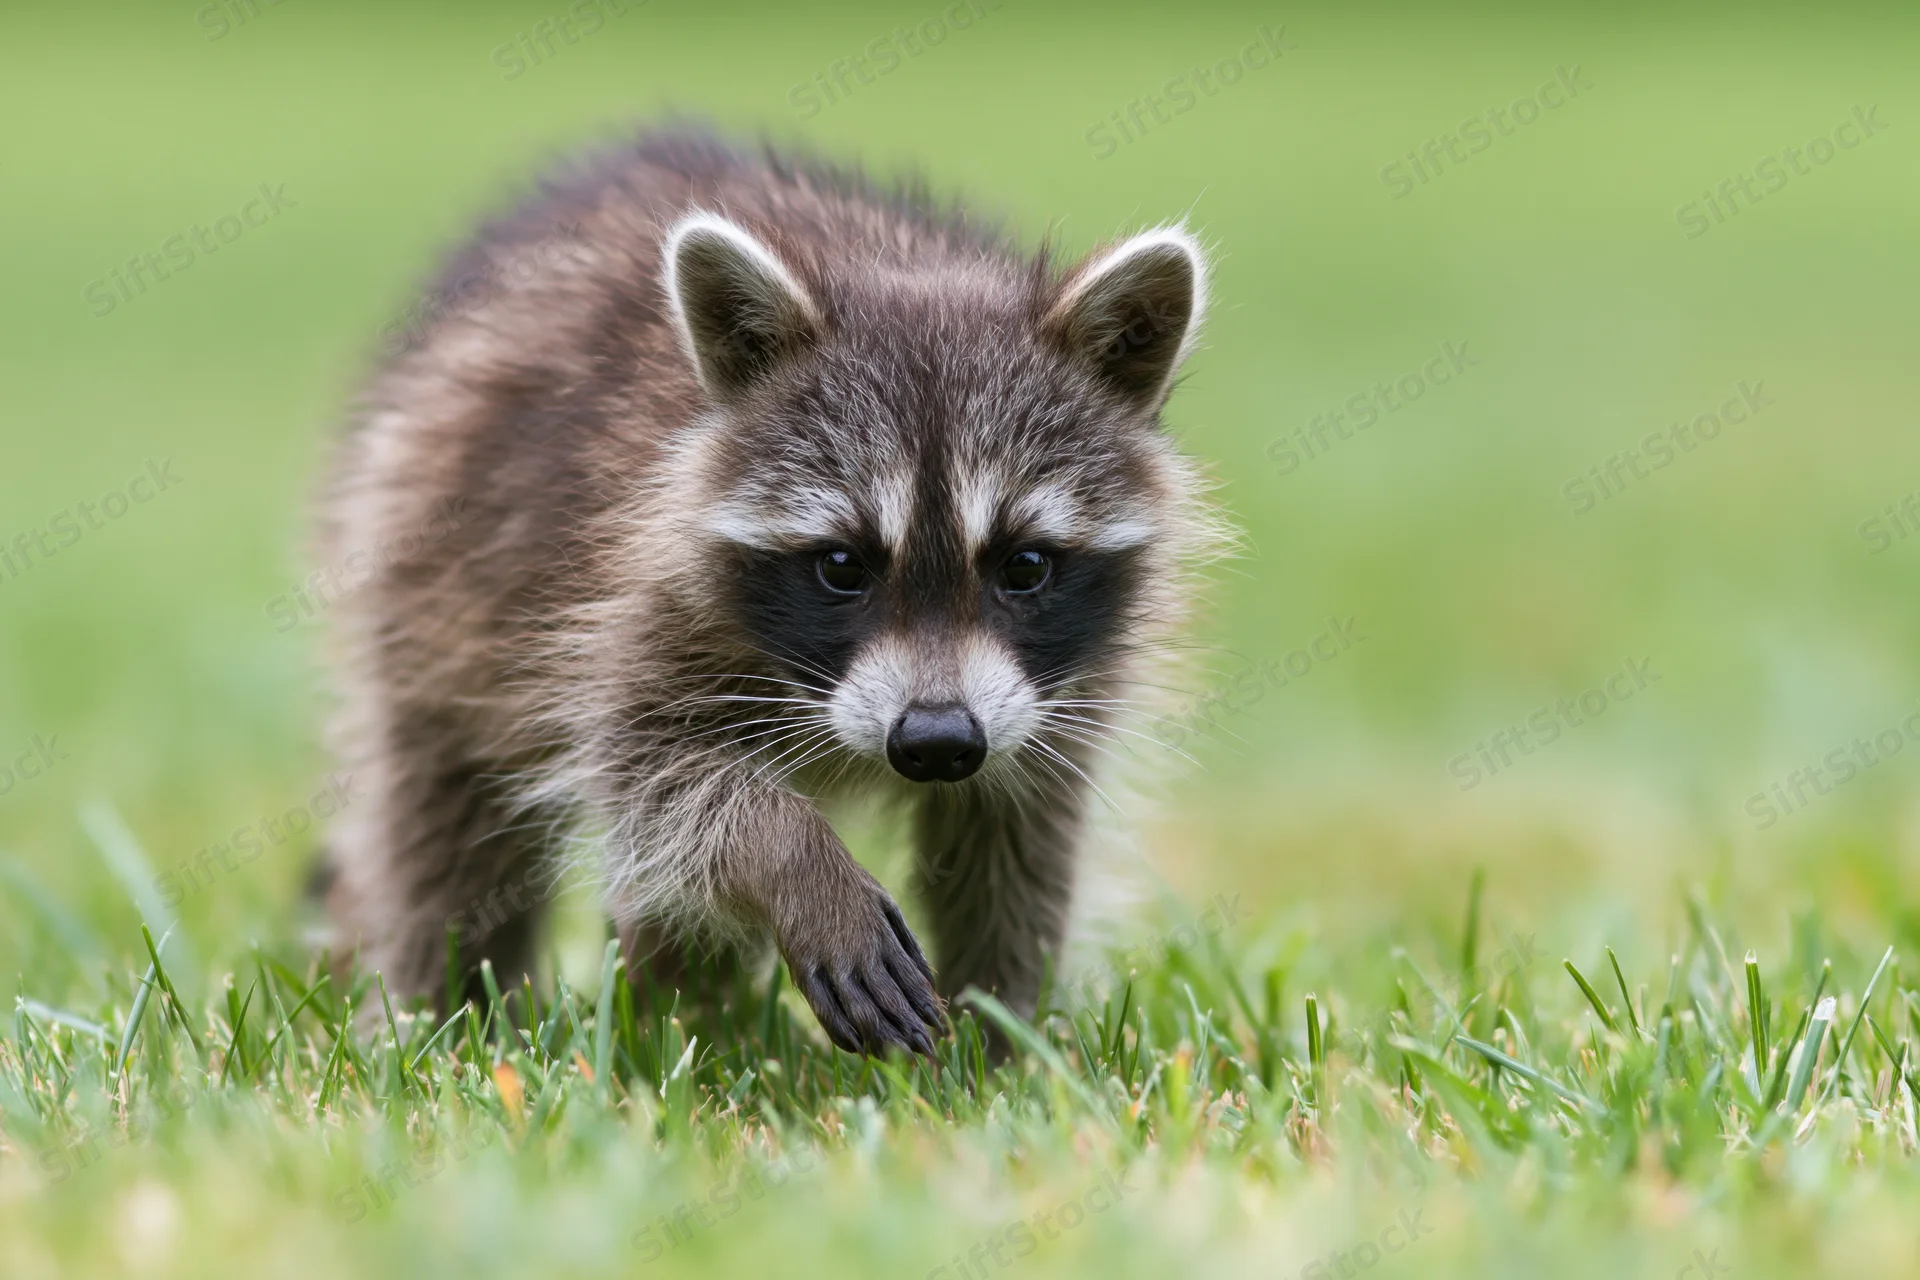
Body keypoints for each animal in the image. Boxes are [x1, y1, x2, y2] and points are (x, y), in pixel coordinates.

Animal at [319, 125, 1219, 1056]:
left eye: (1025, 566)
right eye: (843, 566)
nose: (936, 742)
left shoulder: (1054, 695)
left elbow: (1016, 846)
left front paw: (1001, 1034)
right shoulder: (631, 597)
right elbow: (664, 779)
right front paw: (798, 867)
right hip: (431, 567)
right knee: (442, 820)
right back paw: (446, 1005)